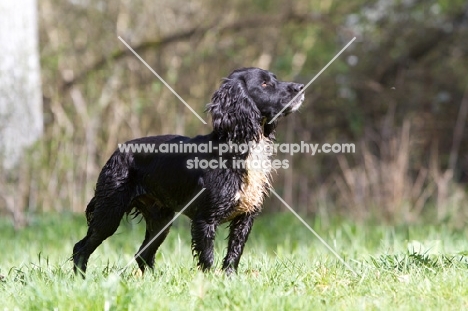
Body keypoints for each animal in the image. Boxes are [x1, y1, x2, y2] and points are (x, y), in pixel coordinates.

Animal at [72, 67, 306, 276]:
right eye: (265, 83)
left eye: (275, 78)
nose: (301, 86)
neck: (238, 147)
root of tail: (117, 152)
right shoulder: (205, 219)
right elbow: (208, 257)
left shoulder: (246, 216)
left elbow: (234, 253)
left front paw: (230, 279)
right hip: (109, 212)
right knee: (81, 247)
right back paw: (81, 279)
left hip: (161, 220)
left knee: (143, 254)